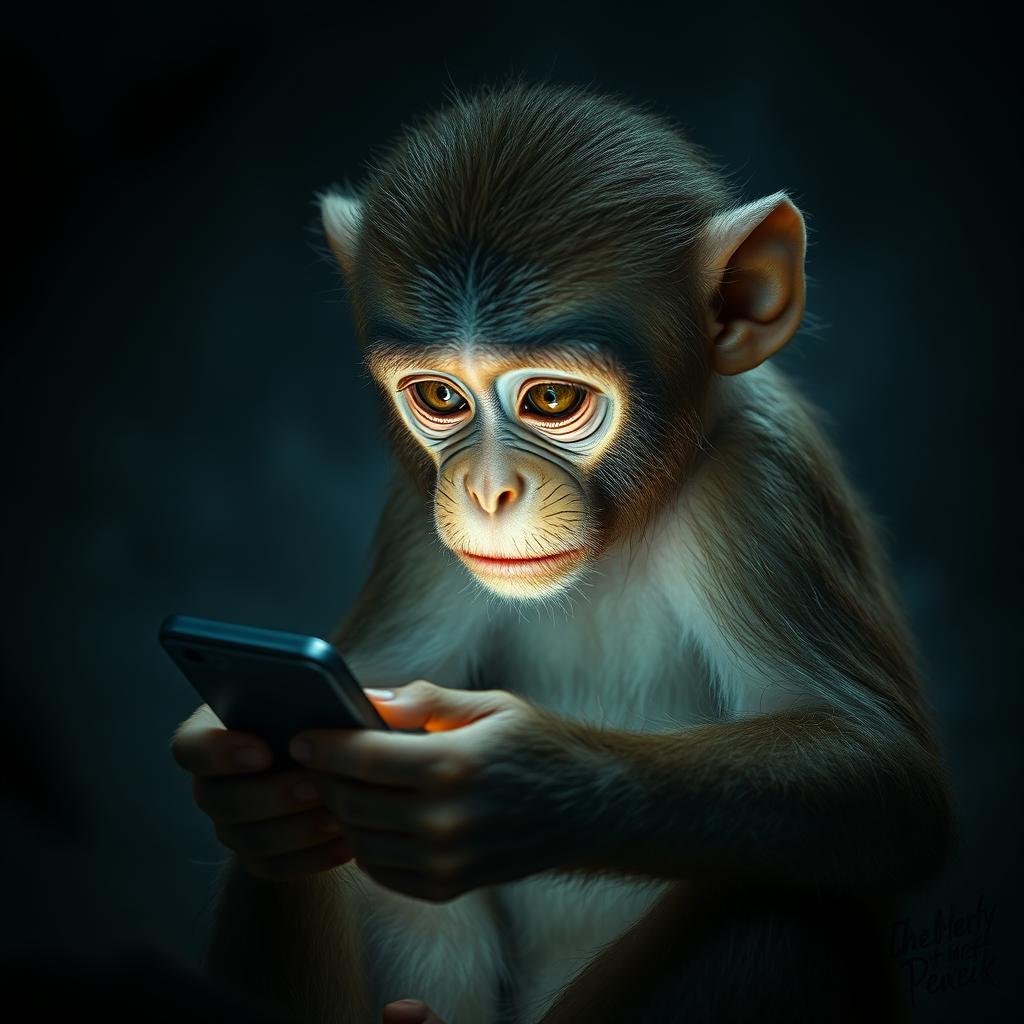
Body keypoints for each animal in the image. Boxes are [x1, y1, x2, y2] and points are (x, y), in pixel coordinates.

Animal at [171, 80, 954, 1024]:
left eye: (549, 399)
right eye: (441, 397)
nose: (487, 490)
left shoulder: (761, 484)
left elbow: (875, 769)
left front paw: (512, 782)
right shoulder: (418, 526)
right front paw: (250, 787)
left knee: (778, 906)